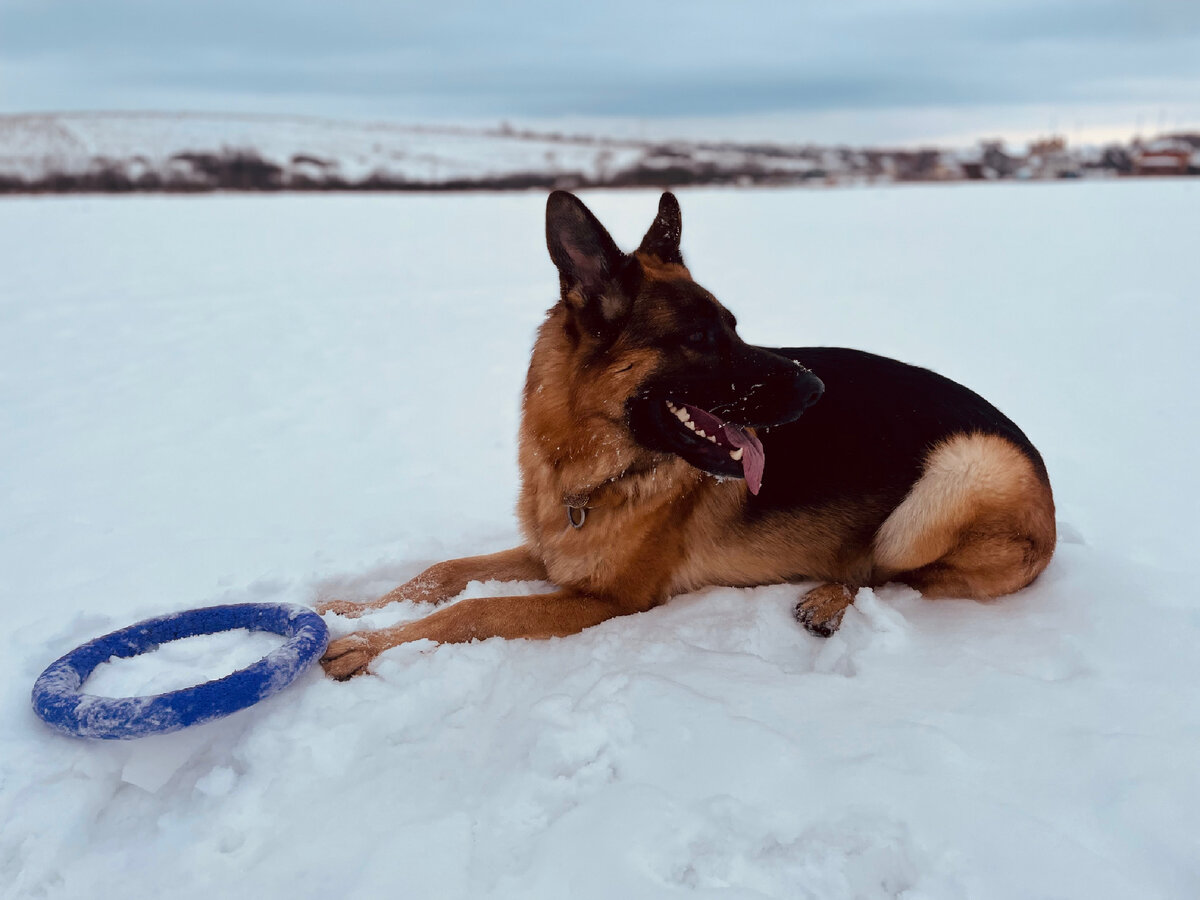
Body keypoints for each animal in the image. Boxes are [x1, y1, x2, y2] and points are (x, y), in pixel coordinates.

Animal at [321, 194, 1060, 681]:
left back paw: (829, 596)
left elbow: (470, 613)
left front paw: (366, 645)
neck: (587, 465)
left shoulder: (604, 599)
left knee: (894, 574)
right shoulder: (553, 556)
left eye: (735, 325)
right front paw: (350, 610)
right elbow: (442, 573)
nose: (817, 390)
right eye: (705, 337)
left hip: (953, 478)